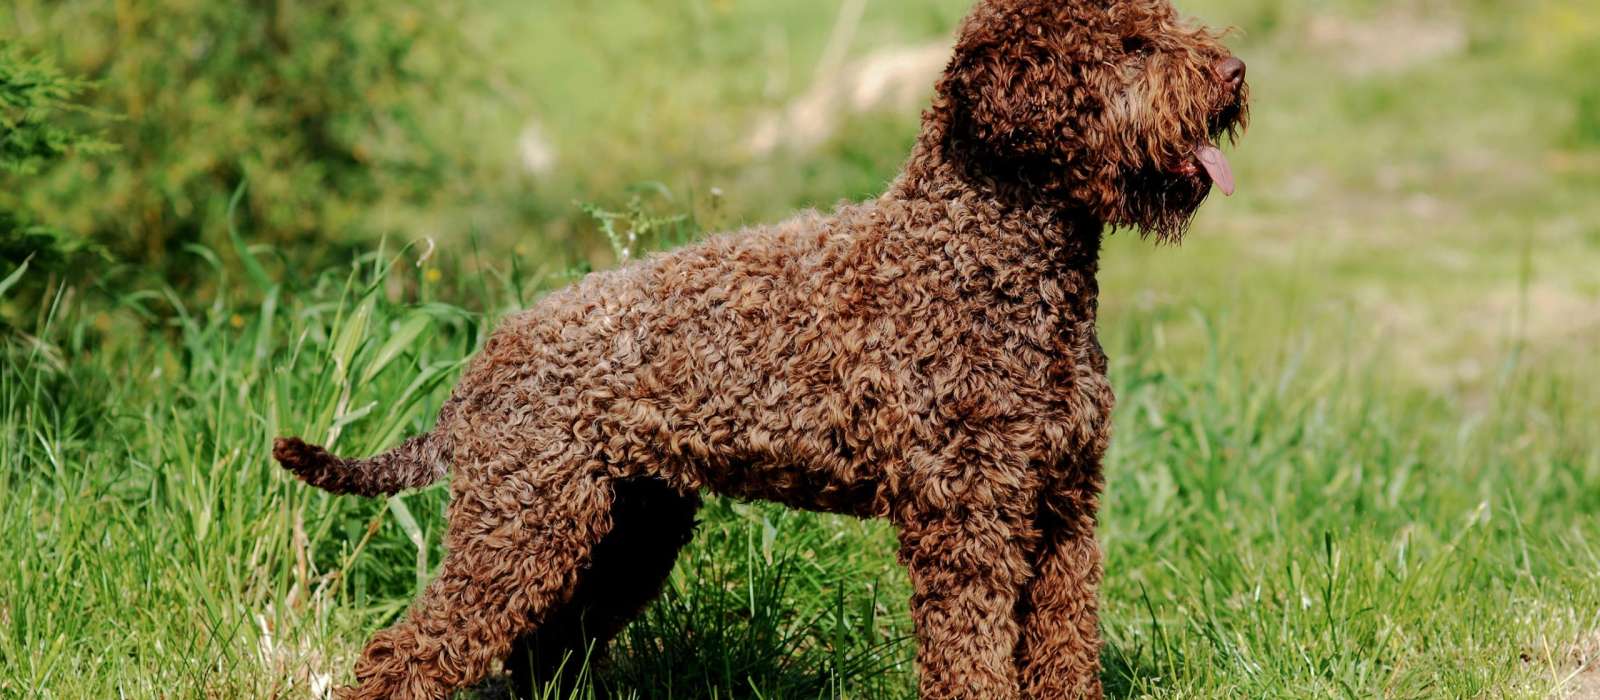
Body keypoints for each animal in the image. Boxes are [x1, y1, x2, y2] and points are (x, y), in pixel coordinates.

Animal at [275, 2, 1248, 696]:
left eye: (1163, 22)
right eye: (1130, 44)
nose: (1235, 73)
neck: (979, 260)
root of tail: (482, 364)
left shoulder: (1063, 512)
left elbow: (1063, 653)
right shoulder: (968, 522)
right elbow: (973, 664)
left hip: (621, 531)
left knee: (534, 658)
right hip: (518, 533)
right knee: (407, 658)